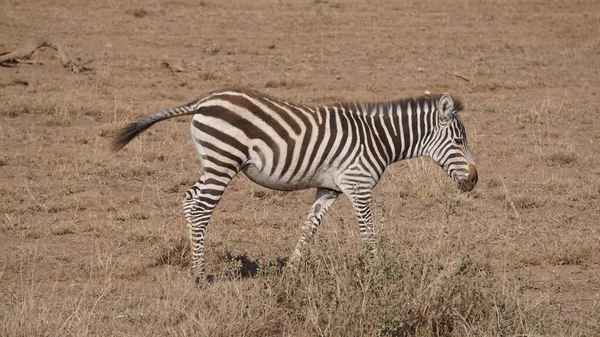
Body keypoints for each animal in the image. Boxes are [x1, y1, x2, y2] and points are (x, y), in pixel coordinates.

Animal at [111, 88, 478, 282]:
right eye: (458, 140)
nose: (475, 180)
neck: (378, 139)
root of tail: (204, 100)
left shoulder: (330, 188)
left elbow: (309, 227)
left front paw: (291, 270)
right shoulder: (358, 185)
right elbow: (370, 232)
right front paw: (378, 274)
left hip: (214, 163)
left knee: (189, 199)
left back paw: (193, 266)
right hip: (223, 162)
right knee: (201, 209)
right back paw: (200, 276)